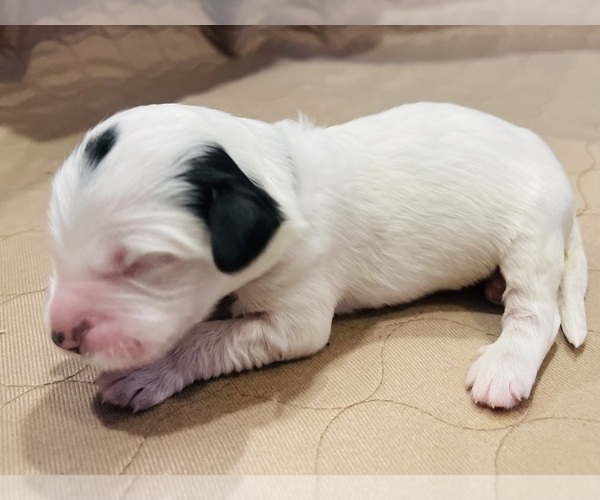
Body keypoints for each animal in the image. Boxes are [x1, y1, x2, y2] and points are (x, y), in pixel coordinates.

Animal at [44, 101, 588, 410]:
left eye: (141, 265)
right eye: (58, 248)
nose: (60, 337)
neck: (276, 172)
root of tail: (563, 182)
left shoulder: (296, 317)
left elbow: (203, 337)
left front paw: (145, 372)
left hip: (529, 235)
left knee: (537, 312)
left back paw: (505, 364)